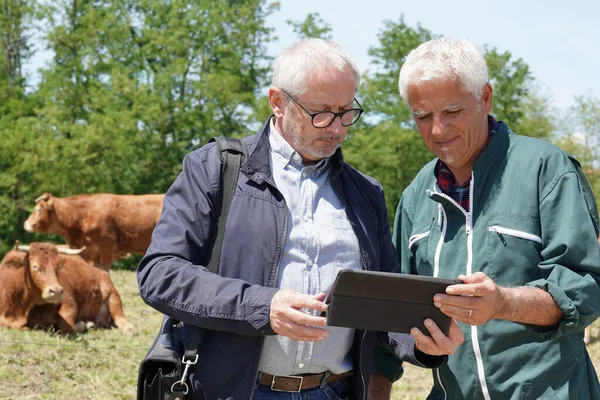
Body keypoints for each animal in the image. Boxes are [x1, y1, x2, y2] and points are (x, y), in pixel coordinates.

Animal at [0, 242, 137, 336]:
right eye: (35, 266)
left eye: (59, 266)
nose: (56, 291)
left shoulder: (69, 302)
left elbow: (67, 326)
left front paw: (82, 324)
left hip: (112, 294)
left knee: (119, 316)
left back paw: (129, 329)